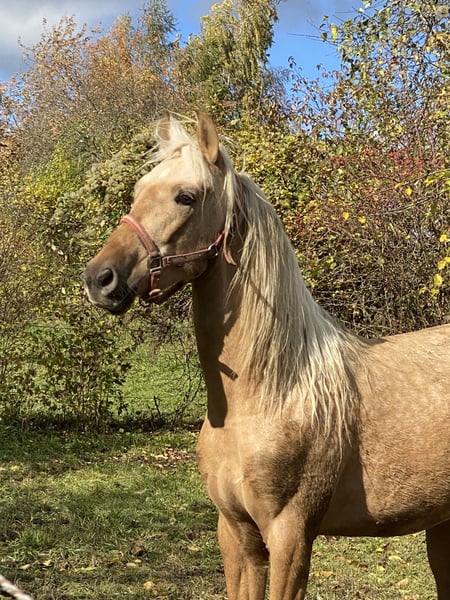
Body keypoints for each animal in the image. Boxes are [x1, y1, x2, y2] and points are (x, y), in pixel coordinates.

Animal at [84, 112, 450, 599]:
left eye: (186, 196)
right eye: (139, 189)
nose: (99, 278)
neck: (267, 393)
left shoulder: (290, 537)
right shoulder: (235, 533)